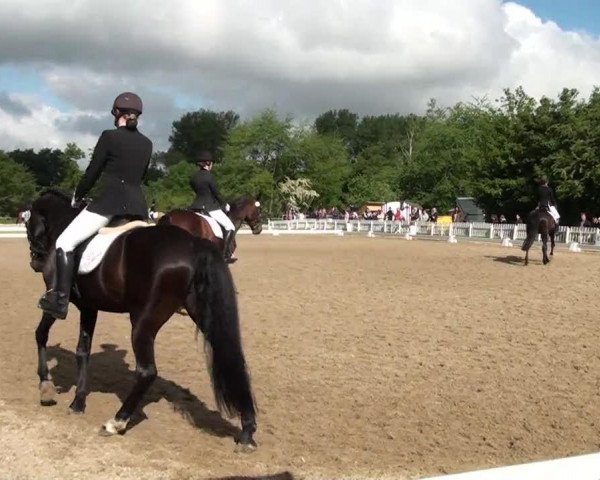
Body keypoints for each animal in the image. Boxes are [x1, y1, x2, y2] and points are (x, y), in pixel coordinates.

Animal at [24, 188, 258, 450]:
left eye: (28, 222)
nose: (35, 261)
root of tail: (194, 245)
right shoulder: (89, 307)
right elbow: (82, 351)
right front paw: (78, 402)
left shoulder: (56, 301)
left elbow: (41, 334)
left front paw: (45, 387)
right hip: (201, 313)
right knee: (229, 356)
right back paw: (247, 431)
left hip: (142, 322)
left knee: (147, 372)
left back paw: (116, 422)